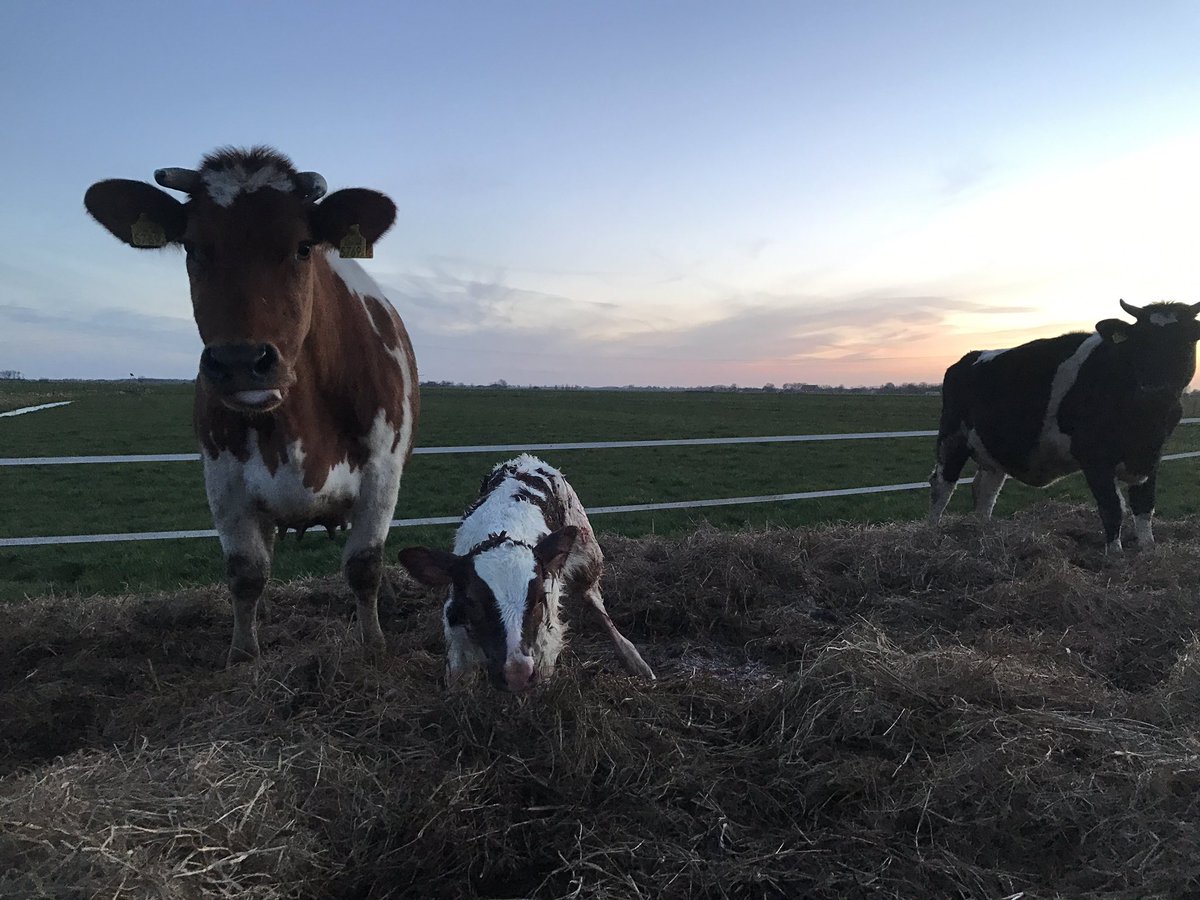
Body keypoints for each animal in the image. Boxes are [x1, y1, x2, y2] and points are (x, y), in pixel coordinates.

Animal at [84, 147, 419, 663]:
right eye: (192, 246)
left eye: (303, 246)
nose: (241, 362)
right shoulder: (222, 475)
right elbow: (246, 572)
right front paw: (243, 654)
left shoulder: (384, 469)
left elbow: (364, 566)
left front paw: (373, 645)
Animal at [396, 454, 655, 692]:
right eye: (472, 602)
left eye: (539, 598)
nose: (516, 673)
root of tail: (525, 459)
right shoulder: (458, 644)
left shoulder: (545, 646)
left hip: (587, 554)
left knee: (595, 603)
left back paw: (636, 662)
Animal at [929, 300, 1200, 551]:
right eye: (1140, 340)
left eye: (1185, 339)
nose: (1156, 389)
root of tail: (969, 357)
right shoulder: (1095, 458)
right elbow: (1112, 508)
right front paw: (1115, 555)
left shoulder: (1151, 456)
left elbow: (1144, 506)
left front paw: (1147, 550)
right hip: (952, 438)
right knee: (942, 485)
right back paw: (931, 534)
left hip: (993, 451)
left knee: (985, 492)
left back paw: (984, 535)